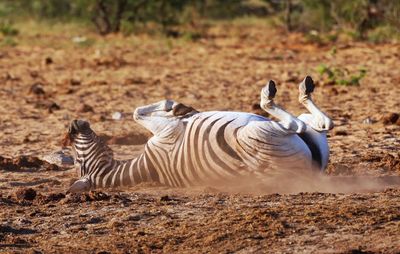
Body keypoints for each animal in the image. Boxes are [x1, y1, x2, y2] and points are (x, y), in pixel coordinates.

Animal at [66, 76, 334, 192]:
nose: (72, 125)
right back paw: (276, 93)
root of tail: (306, 175)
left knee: (319, 123)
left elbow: (146, 108)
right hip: (255, 133)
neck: (147, 166)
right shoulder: (165, 132)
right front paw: (179, 108)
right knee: (302, 124)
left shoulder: (164, 130)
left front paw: (180, 108)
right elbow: (136, 113)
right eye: (78, 160)